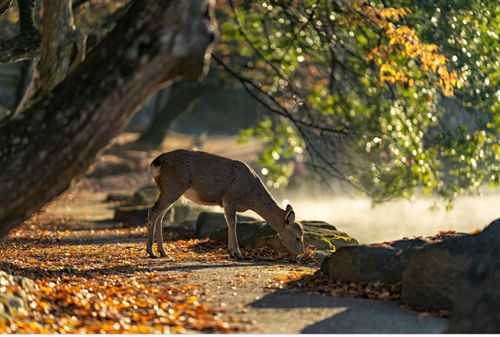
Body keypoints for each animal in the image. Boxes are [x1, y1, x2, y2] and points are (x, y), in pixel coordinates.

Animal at [146, 148, 306, 258]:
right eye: (298, 238)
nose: (301, 253)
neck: (251, 196)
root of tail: (154, 164)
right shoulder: (230, 198)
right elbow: (233, 223)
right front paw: (238, 254)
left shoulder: (226, 202)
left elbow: (229, 223)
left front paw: (231, 252)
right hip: (173, 187)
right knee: (153, 211)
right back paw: (151, 252)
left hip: (170, 190)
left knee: (160, 216)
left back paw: (163, 252)